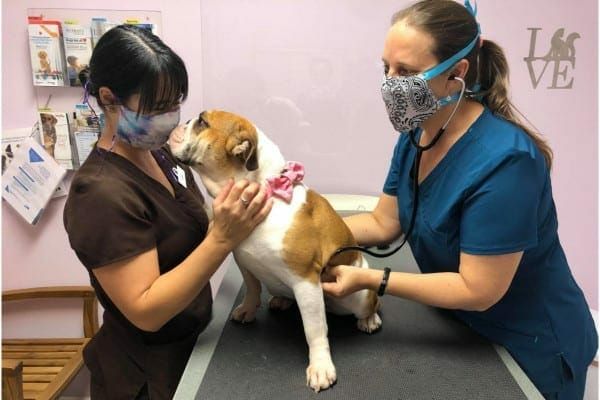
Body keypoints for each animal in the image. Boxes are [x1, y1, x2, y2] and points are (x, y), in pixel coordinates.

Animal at [169, 109, 382, 390]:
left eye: (203, 122)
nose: (185, 120)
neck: (264, 190)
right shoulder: (244, 261)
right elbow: (252, 288)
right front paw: (248, 309)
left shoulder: (305, 280)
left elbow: (314, 330)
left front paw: (321, 366)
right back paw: (282, 298)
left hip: (358, 296)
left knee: (371, 302)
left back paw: (369, 319)